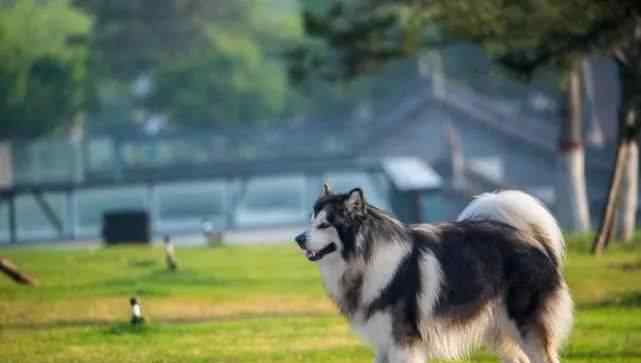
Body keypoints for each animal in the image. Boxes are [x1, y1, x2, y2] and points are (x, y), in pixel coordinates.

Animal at [294, 186, 568, 362]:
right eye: (311, 221)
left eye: (324, 225)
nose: (298, 239)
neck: (366, 258)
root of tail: (532, 239)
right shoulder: (384, 343)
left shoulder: (403, 343)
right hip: (499, 332)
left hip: (525, 326)